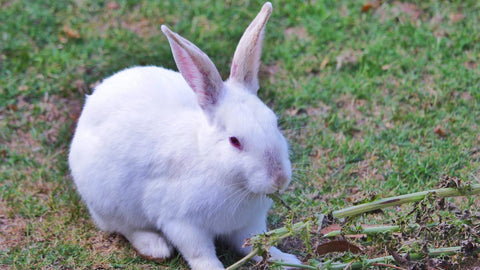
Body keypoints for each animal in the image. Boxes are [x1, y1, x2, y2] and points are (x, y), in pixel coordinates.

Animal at [68, 2, 300, 270]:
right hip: (109, 202)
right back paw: (155, 247)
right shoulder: (182, 223)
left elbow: (257, 244)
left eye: (275, 122)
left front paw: (287, 260)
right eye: (234, 141)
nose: (279, 178)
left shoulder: (248, 223)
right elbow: (201, 253)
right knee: (126, 228)